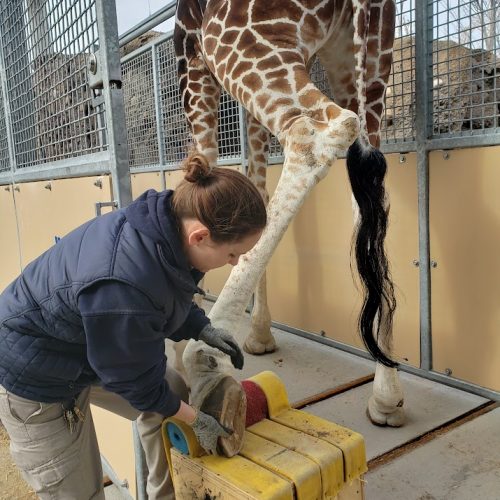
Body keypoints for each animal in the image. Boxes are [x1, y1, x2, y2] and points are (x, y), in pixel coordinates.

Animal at [174, 0, 404, 426]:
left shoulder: (194, 68)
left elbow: (206, 171)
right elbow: (257, 191)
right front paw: (261, 334)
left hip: (238, 47)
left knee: (318, 134)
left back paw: (206, 357)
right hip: (364, 62)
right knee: (367, 189)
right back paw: (387, 393)